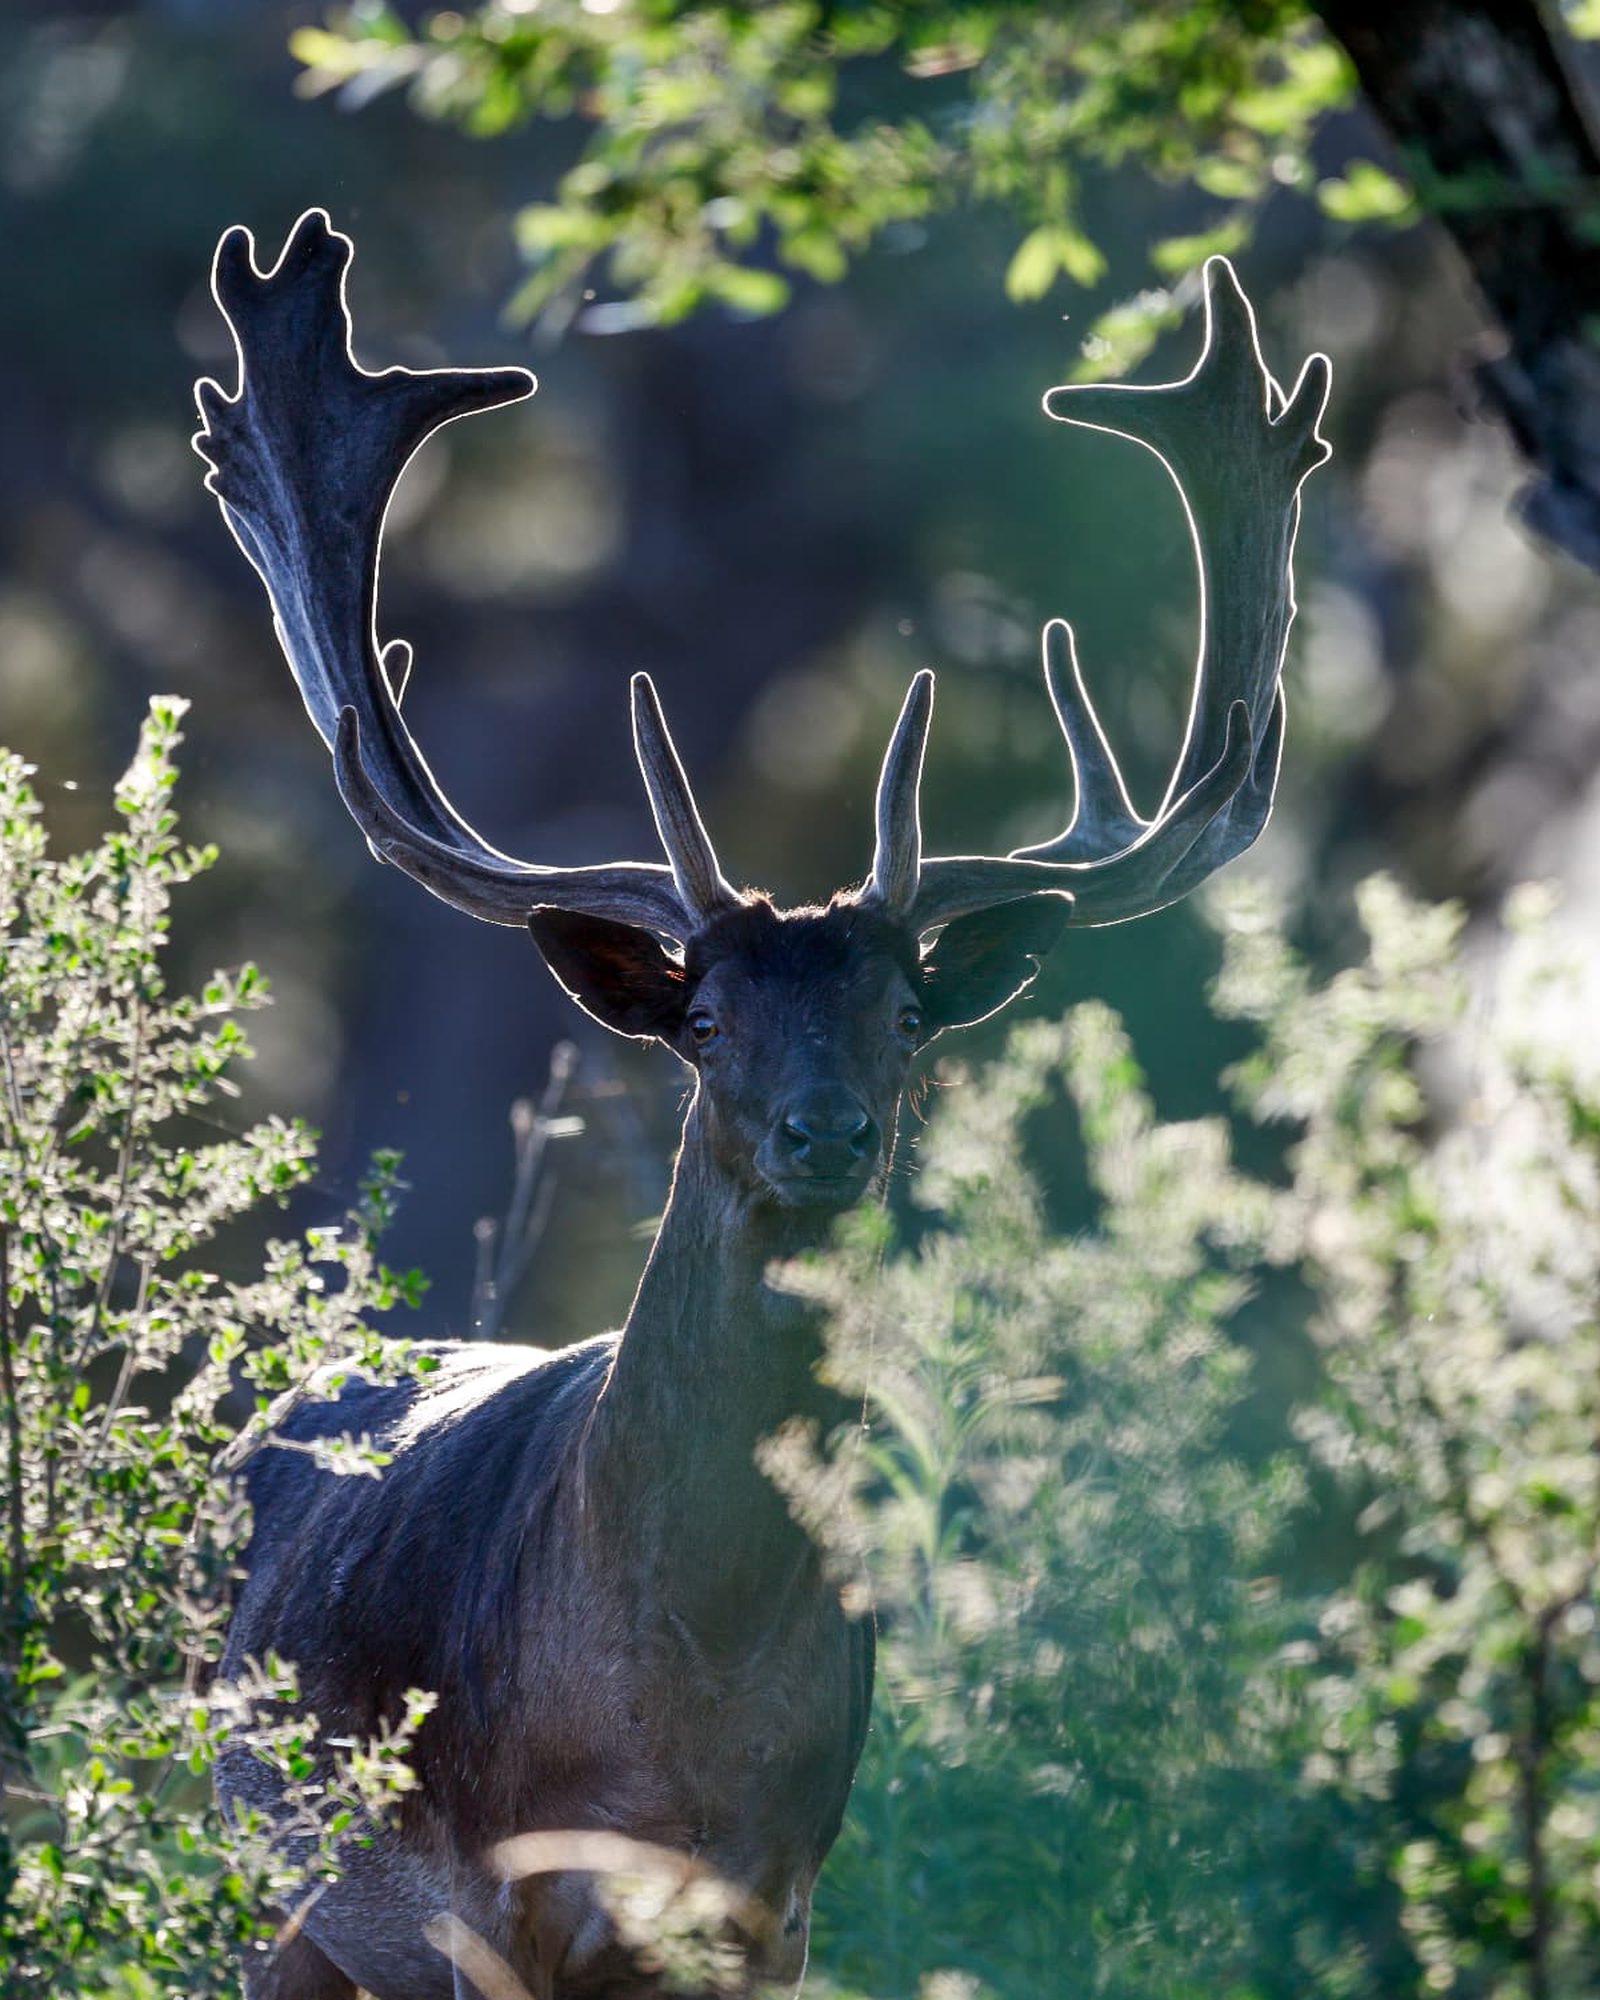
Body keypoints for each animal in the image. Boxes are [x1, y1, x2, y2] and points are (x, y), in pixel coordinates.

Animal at [192, 210, 1330, 2000]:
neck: (678, 1711)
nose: (826, 1133)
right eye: (706, 1020)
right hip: (262, 1889)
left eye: (907, 1015)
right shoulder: (482, 1907)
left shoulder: (776, 1903)